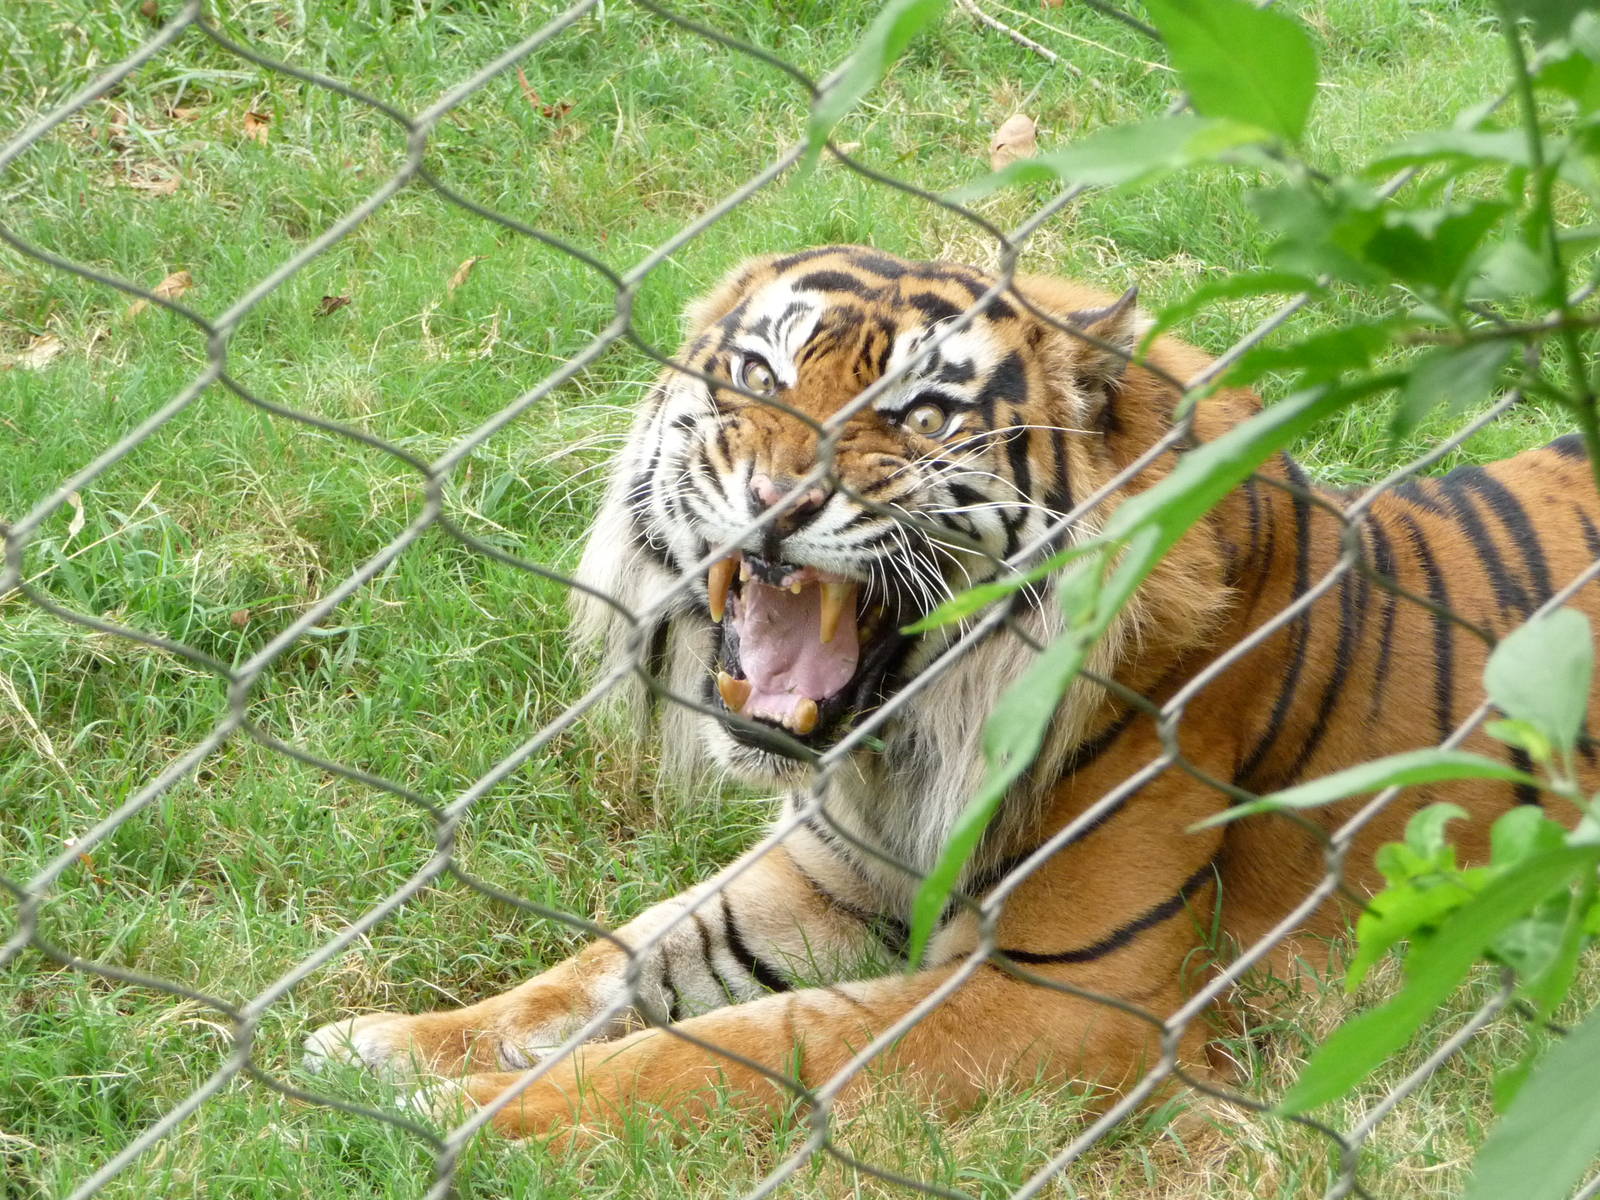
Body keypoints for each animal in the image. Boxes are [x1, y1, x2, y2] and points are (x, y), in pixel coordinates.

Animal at [305, 244, 1600, 1146]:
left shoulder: (1073, 995)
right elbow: (613, 961)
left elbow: (745, 1047)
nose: (777, 500)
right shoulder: (822, 876)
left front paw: (474, 1119)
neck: (906, 746)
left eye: (919, 414)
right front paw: (390, 1046)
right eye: (757, 373)